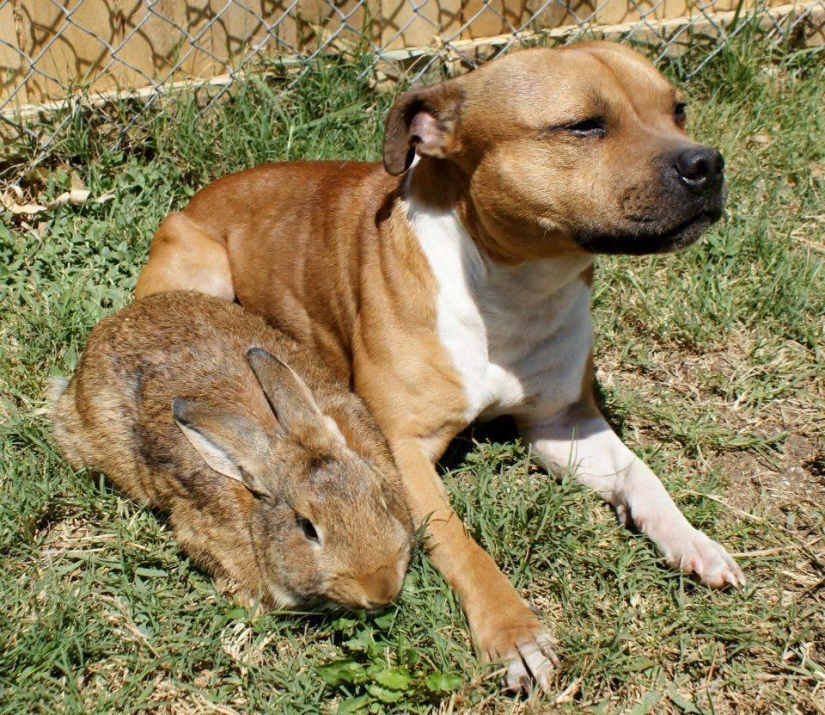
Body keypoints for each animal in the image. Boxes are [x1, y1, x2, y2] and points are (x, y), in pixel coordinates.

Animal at [135, 43, 740, 692]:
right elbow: (459, 539)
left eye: (678, 109)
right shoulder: (403, 448)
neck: (515, 288)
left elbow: (642, 477)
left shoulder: (563, 425)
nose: (706, 163)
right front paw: (513, 630)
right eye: (584, 125)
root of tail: (198, 197)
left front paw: (692, 539)